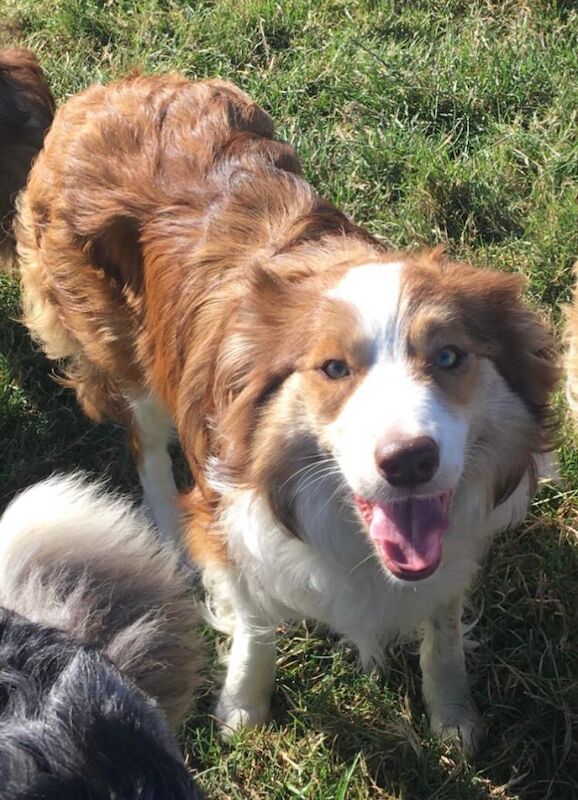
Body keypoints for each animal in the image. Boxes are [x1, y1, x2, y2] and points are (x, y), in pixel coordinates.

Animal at [15, 72, 560, 752]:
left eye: (450, 356)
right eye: (333, 369)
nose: (409, 461)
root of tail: (109, 89)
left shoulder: (452, 548)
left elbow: (443, 633)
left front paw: (453, 716)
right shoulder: (234, 518)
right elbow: (254, 627)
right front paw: (242, 709)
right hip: (118, 346)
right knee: (147, 446)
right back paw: (167, 532)